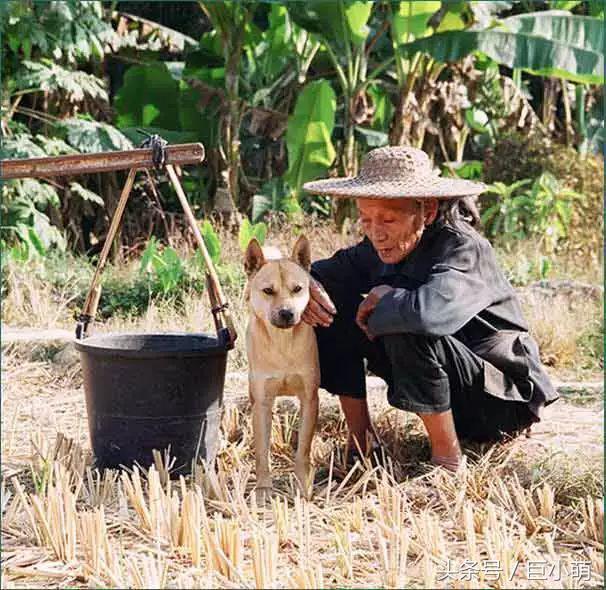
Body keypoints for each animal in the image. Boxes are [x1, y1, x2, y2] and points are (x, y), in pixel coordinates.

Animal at [246, 236, 324, 500]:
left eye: (298, 289)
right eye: (268, 291)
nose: (287, 313)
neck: (282, 343)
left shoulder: (310, 398)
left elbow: (303, 450)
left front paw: (303, 486)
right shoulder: (261, 403)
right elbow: (261, 453)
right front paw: (263, 490)